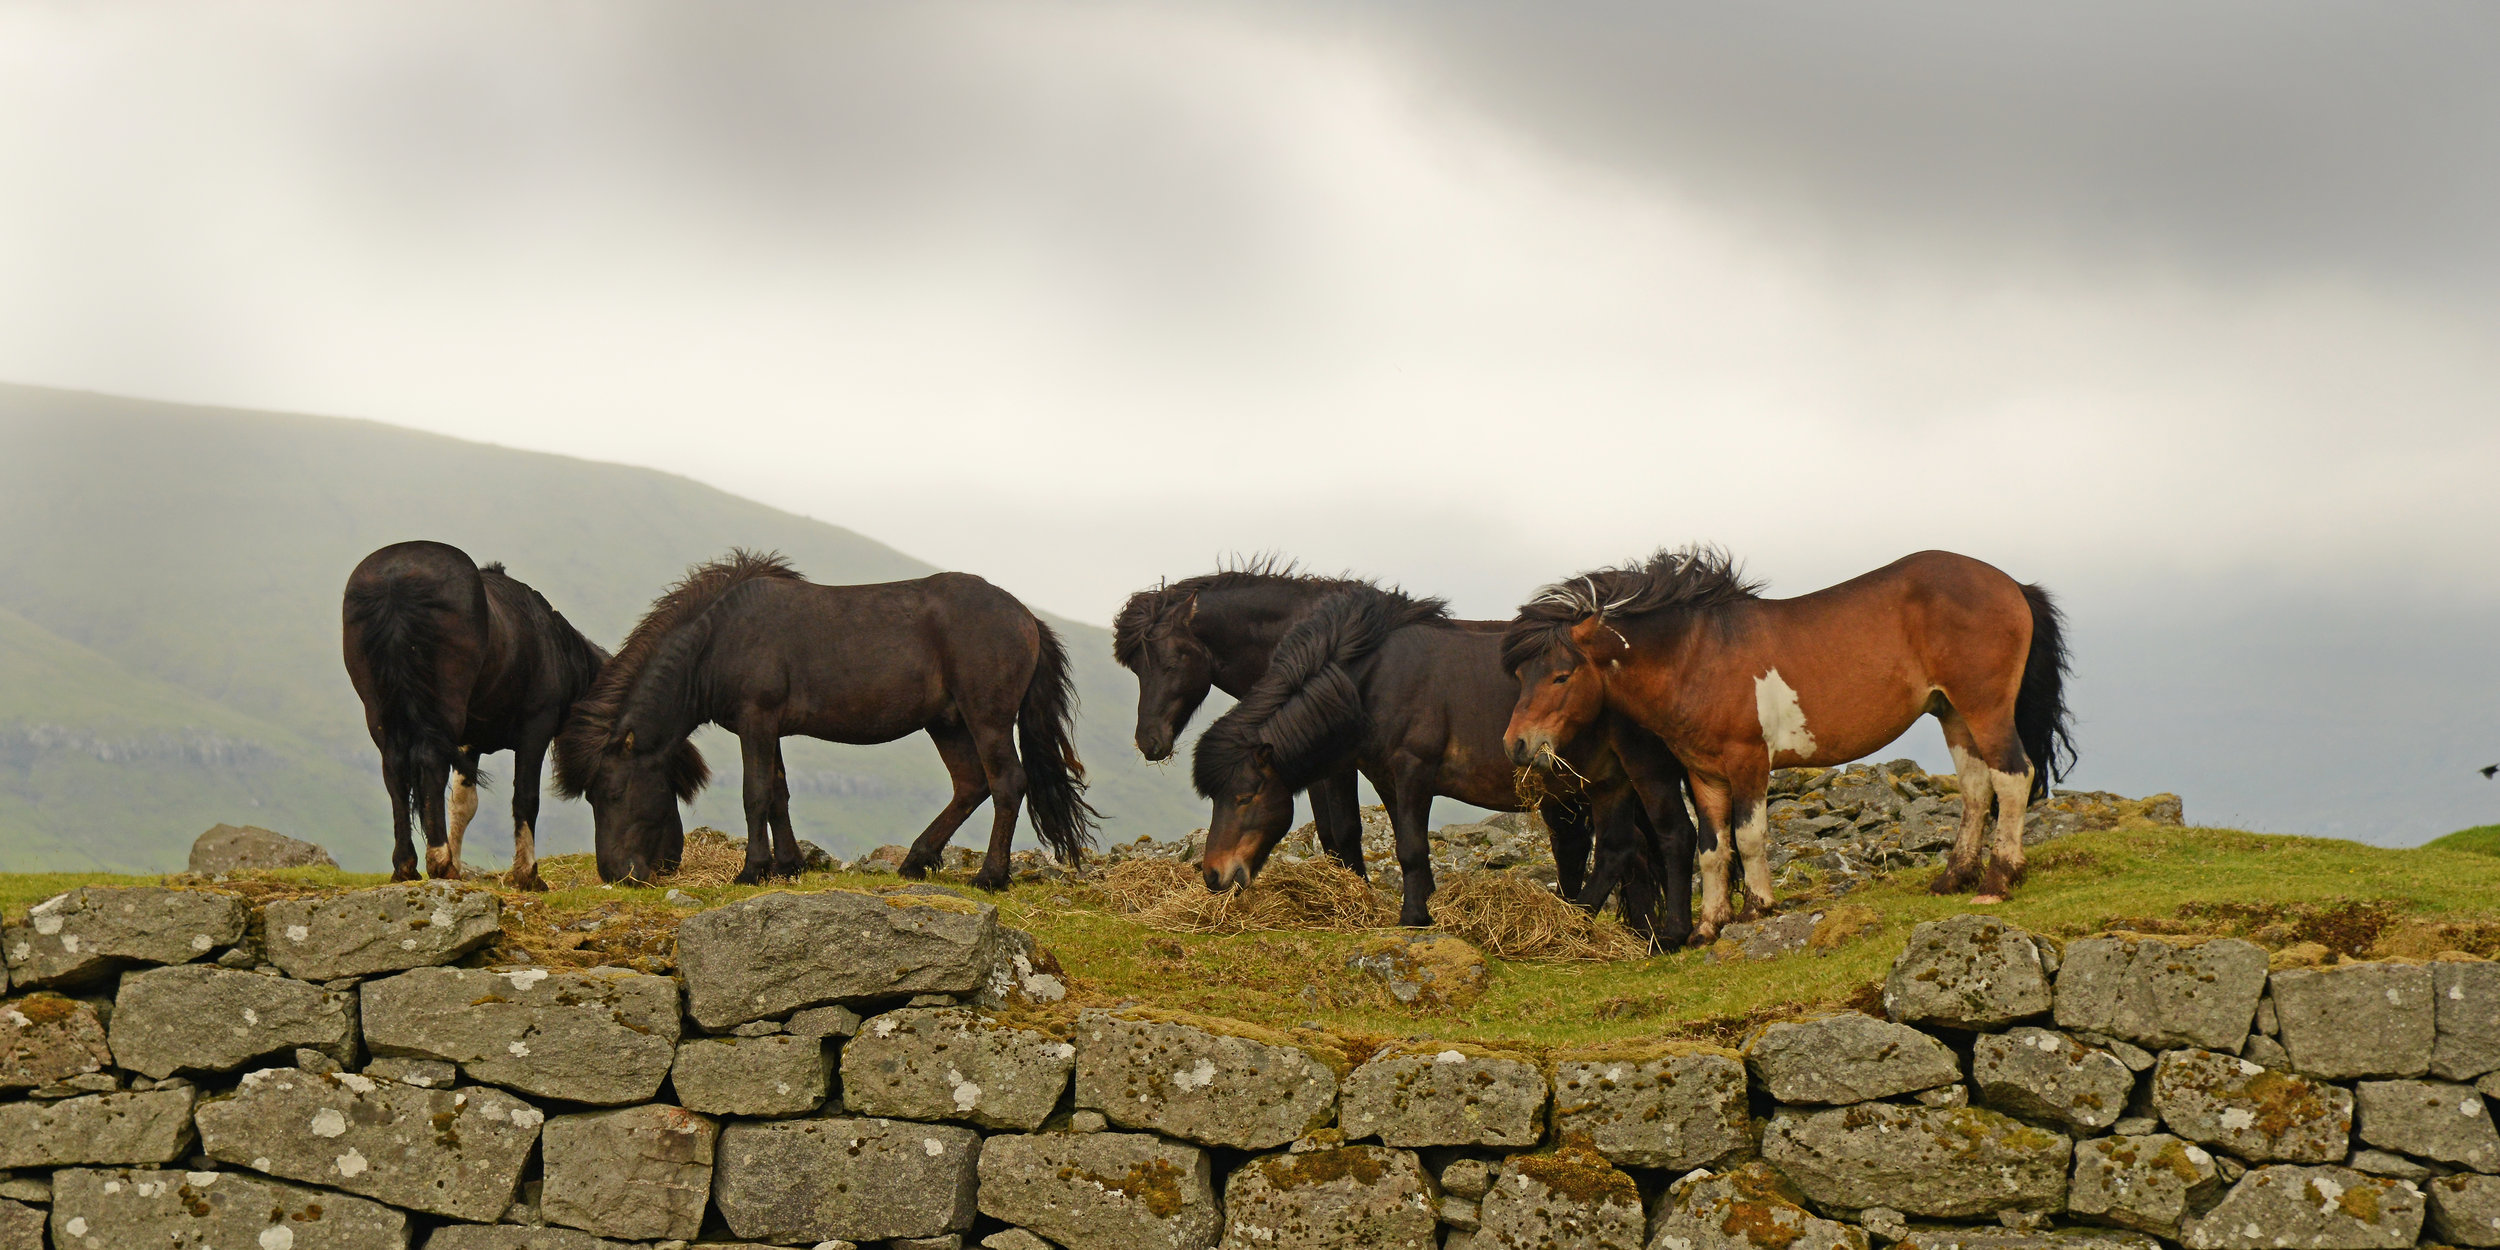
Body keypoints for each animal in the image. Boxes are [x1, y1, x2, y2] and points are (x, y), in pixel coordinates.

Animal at [342, 537, 635, 890]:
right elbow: (526, 797)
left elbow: (462, 803)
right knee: (429, 762)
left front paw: (457, 864)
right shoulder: (536, 727)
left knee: (394, 768)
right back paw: (438, 859)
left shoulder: (468, 742)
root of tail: (394, 580)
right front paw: (527, 874)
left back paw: (406, 866)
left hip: (381, 713)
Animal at [557, 550, 1095, 890]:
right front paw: (788, 866)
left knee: (1007, 784)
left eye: (611, 793)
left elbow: (756, 794)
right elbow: (777, 793)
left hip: (986, 719)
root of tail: (1026, 616)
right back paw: (916, 861)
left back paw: (990, 877)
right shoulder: (768, 728)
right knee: (970, 786)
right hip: (948, 723)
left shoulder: (756, 721)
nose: (614, 874)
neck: (717, 640)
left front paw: (752, 870)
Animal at [1185, 575, 1700, 940]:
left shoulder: (1414, 770)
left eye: (1245, 796)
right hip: (1607, 782)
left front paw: (1413, 917)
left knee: (1636, 845)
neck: (1375, 677)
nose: (1213, 875)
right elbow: (1405, 843)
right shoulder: (1388, 779)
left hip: (1631, 775)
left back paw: (1586, 920)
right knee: (1622, 850)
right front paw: (1424, 905)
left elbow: (1411, 849)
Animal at [1500, 547, 2070, 940]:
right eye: (1522, 674)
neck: (1698, 656)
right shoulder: (1704, 773)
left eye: (1561, 675)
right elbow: (1712, 847)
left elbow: (1749, 837)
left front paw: (1758, 908)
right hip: (1953, 713)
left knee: (2013, 777)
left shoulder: (1748, 760)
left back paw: (1996, 882)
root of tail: (2011, 585)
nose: (1517, 745)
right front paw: (1708, 927)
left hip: (1984, 707)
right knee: (1975, 788)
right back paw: (1953, 878)